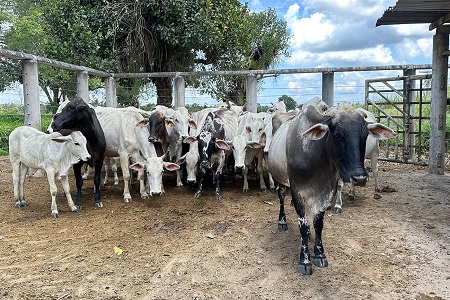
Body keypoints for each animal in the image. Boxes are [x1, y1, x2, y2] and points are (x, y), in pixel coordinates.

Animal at [268, 102, 396, 274]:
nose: (359, 178)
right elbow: (303, 225)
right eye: (337, 135)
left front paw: (320, 254)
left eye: (365, 136)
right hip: (280, 179)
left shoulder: (325, 192)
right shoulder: (297, 191)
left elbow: (318, 224)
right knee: (281, 196)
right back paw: (282, 222)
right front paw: (305, 260)